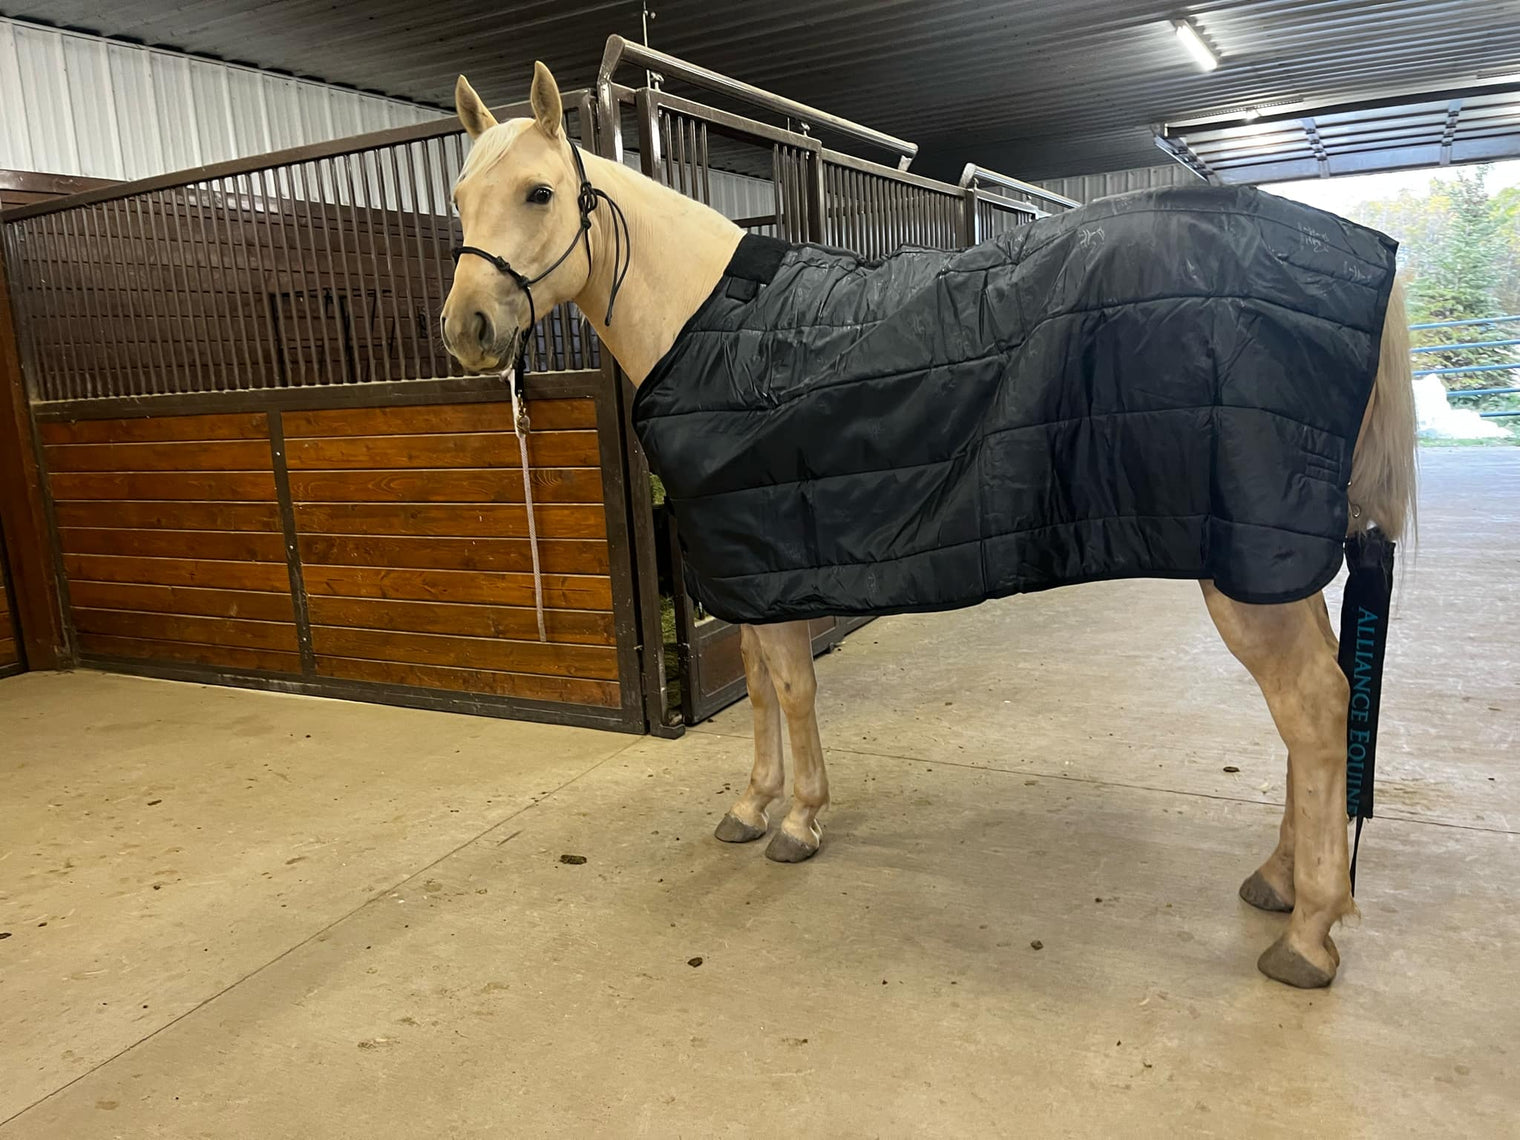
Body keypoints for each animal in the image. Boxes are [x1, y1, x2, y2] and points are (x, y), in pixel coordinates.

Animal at [440, 63, 1417, 989]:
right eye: (458, 195)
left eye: (539, 192)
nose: (466, 330)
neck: (709, 322)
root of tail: (1363, 253)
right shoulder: (745, 565)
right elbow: (754, 688)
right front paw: (751, 807)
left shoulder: (770, 555)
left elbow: (792, 689)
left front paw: (799, 821)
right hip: (1273, 566)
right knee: (1320, 701)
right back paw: (1280, 882)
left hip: (1246, 568)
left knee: (1314, 708)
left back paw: (1308, 934)